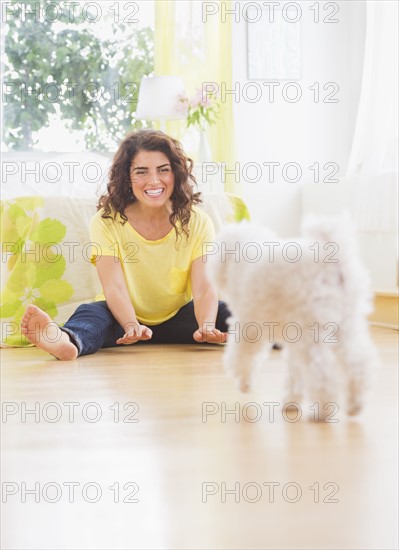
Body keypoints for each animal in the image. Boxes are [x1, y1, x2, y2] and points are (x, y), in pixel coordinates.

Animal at [208, 218, 380, 420]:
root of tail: (333, 260)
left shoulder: (250, 324)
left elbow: (243, 355)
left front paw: (244, 382)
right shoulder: (293, 337)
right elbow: (294, 370)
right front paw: (291, 401)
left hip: (313, 332)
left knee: (321, 372)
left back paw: (323, 410)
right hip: (346, 326)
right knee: (358, 363)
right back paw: (355, 404)